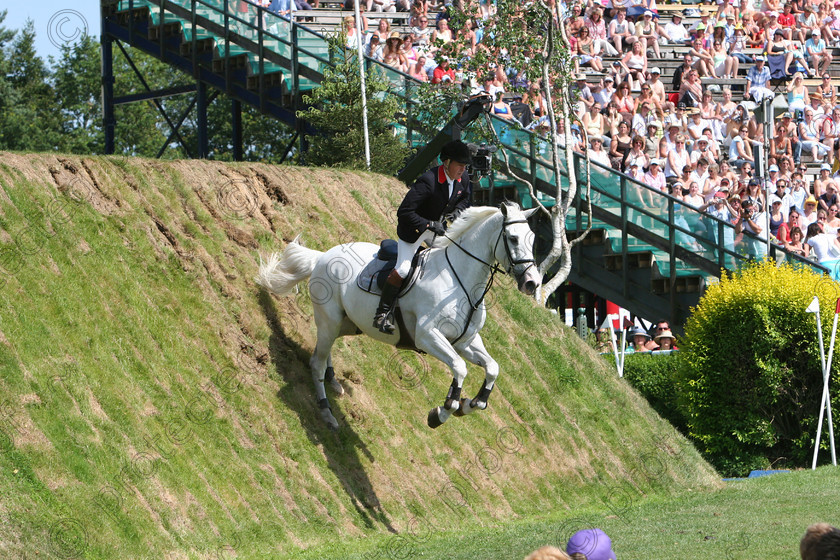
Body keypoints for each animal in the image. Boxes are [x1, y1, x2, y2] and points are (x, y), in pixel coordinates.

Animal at [256, 202, 540, 428]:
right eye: (513, 238)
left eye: (532, 239)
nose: (532, 283)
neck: (460, 283)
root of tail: (323, 256)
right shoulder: (427, 336)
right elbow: (459, 368)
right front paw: (443, 411)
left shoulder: (465, 341)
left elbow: (492, 368)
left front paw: (472, 403)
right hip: (331, 319)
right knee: (317, 360)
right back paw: (327, 413)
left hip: (349, 323)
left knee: (323, 352)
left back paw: (333, 380)